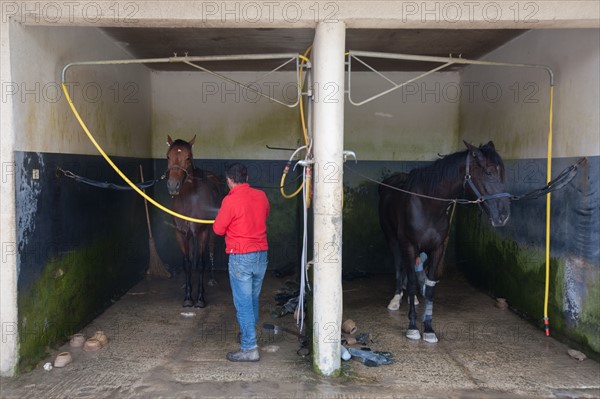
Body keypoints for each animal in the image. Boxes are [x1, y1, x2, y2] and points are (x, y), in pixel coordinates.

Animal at [165, 136, 221, 308]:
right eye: (168, 156)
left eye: (188, 157)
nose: (173, 186)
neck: (189, 200)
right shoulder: (180, 233)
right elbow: (187, 263)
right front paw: (188, 296)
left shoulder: (202, 232)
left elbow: (201, 263)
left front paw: (201, 298)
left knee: (211, 250)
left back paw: (212, 279)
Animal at [378, 141, 508, 344]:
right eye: (488, 172)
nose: (503, 216)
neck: (428, 206)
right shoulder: (409, 245)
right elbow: (413, 281)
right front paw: (413, 327)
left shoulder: (437, 249)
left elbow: (430, 286)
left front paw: (428, 329)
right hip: (392, 239)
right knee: (400, 266)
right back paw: (396, 298)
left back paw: (413, 299)